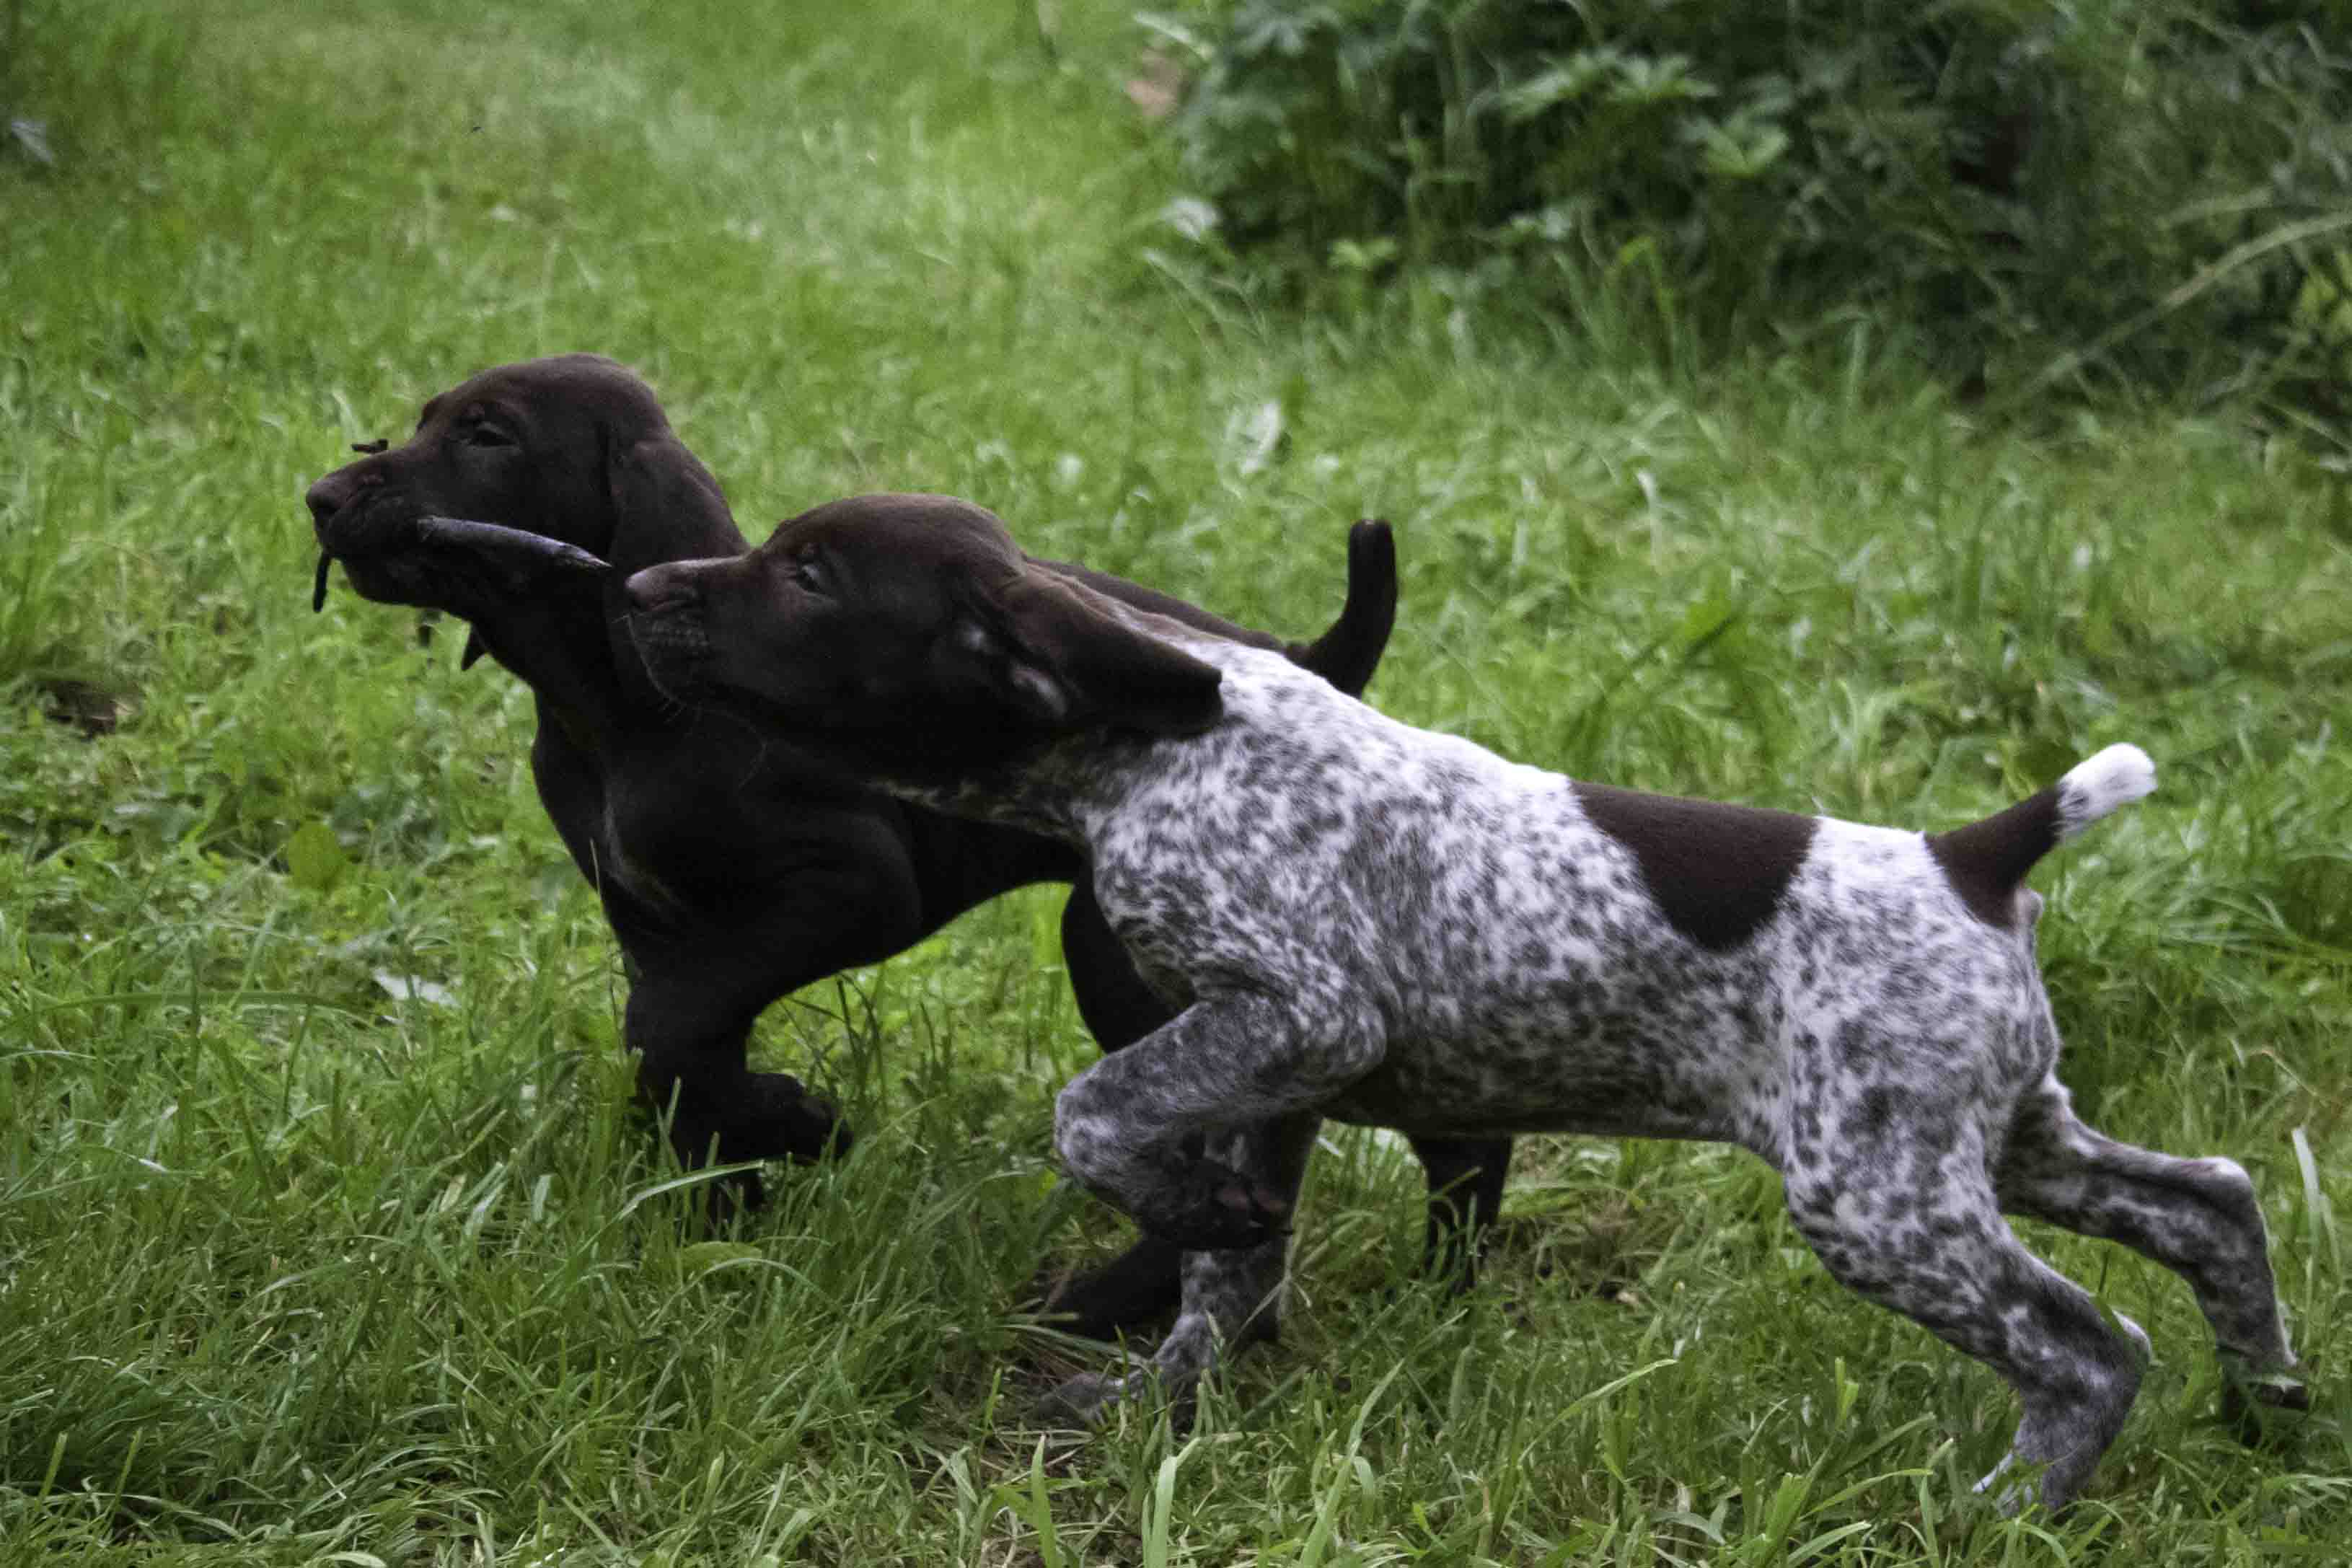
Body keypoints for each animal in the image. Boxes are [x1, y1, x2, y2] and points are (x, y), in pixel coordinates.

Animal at [303, 359, 1515, 1335]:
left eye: (487, 436)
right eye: (425, 418)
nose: (321, 496)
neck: (615, 710)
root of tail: (1296, 663)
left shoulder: (848, 885)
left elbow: (671, 1023)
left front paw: (796, 1128)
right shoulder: (648, 912)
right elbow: (683, 1047)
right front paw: (735, 1180)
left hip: (1126, 961)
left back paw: (1119, 1301)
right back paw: (1443, 1277)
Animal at [620, 495, 2295, 1514]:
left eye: (809, 576)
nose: (637, 586)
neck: (1145, 747)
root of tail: (1975, 851)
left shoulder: (1302, 1015)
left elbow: (1094, 1116)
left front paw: (1181, 1249)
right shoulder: (1270, 1072)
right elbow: (1222, 1277)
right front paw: (1162, 1400)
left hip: (1879, 1194)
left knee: (2086, 1343)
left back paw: (2006, 1505)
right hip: (2001, 1139)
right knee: (2212, 1199)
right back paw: (2267, 1405)